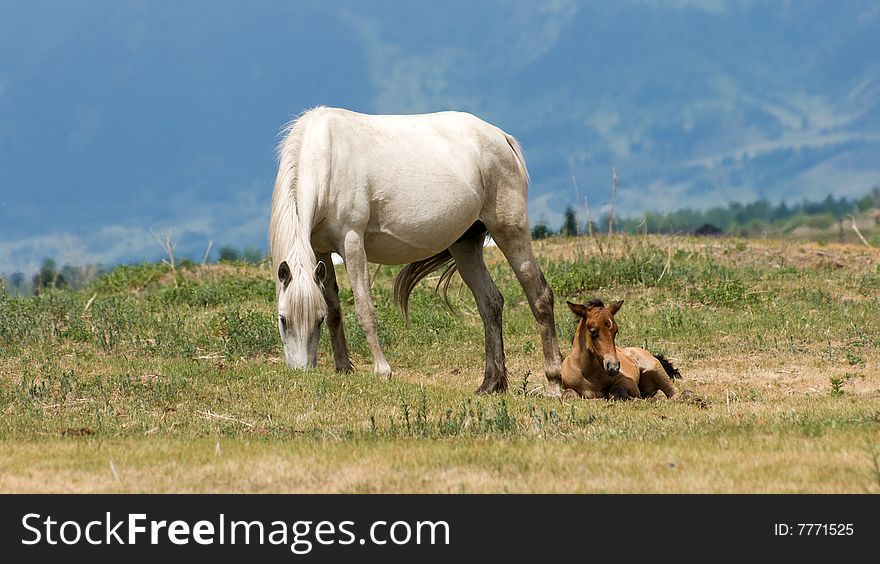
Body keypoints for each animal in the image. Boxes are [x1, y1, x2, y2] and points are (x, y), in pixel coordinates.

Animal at [268, 107, 564, 396]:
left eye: (315, 320)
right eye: (283, 320)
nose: (302, 372)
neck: (326, 157)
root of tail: (501, 137)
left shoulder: (351, 243)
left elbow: (364, 310)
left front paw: (382, 371)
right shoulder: (320, 250)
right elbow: (335, 308)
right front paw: (343, 367)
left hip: (510, 231)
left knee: (539, 295)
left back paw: (554, 383)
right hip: (465, 244)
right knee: (490, 303)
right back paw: (491, 384)